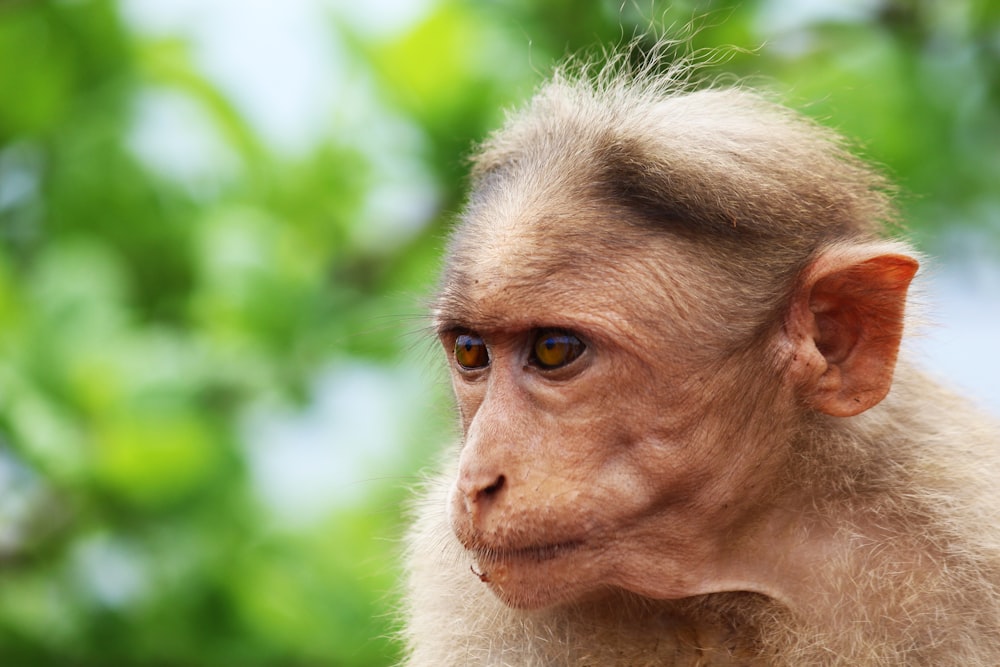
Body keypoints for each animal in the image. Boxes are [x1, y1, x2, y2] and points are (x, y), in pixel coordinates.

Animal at [398, 47, 1000, 667]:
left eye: (553, 349)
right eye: (471, 351)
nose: (475, 481)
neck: (742, 567)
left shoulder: (966, 539)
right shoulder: (460, 593)